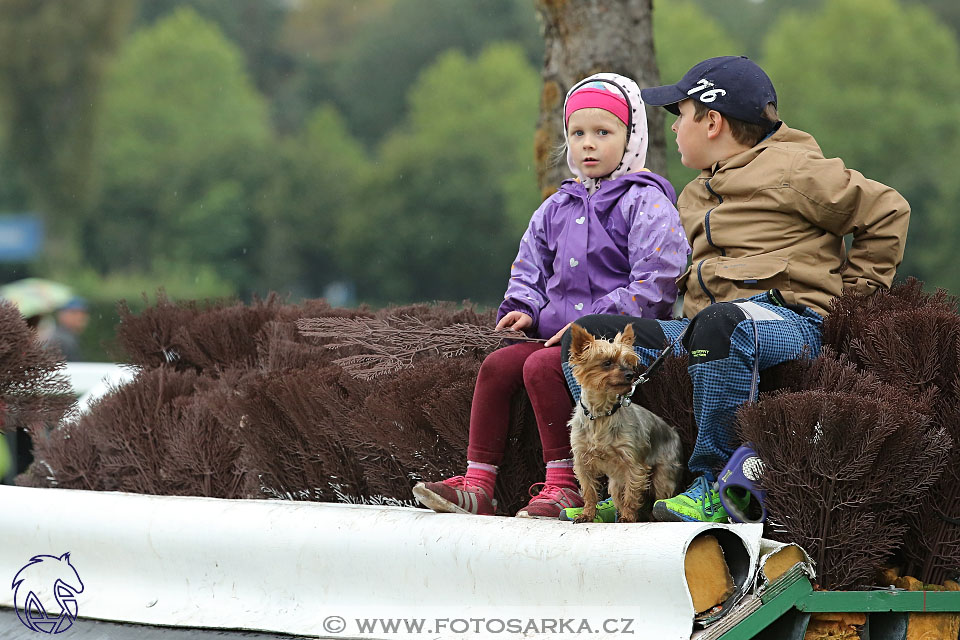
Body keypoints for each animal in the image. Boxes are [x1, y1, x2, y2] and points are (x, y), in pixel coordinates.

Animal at [568, 322, 688, 524]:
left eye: (629, 362)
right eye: (607, 362)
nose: (631, 374)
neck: (602, 414)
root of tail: (673, 431)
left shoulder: (634, 465)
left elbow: (632, 494)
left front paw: (628, 517)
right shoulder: (583, 461)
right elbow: (589, 491)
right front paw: (587, 514)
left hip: (663, 476)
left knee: (658, 495)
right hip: (616, 482)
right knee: (618, 495)